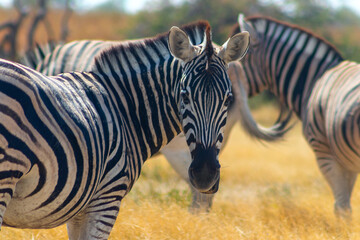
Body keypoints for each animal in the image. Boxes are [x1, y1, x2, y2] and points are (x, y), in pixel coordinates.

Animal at [0, 21, 252, 239]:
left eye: (228, 100)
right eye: (184, 96)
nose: (205, 176)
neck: (125, 108)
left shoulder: (81, 207)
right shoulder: (106, 199)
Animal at [21, 24, 292, 213]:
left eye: (227, 99)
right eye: (183, 96)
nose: (205, 172)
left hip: (181, 152)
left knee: (201, 194)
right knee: (206, 194)